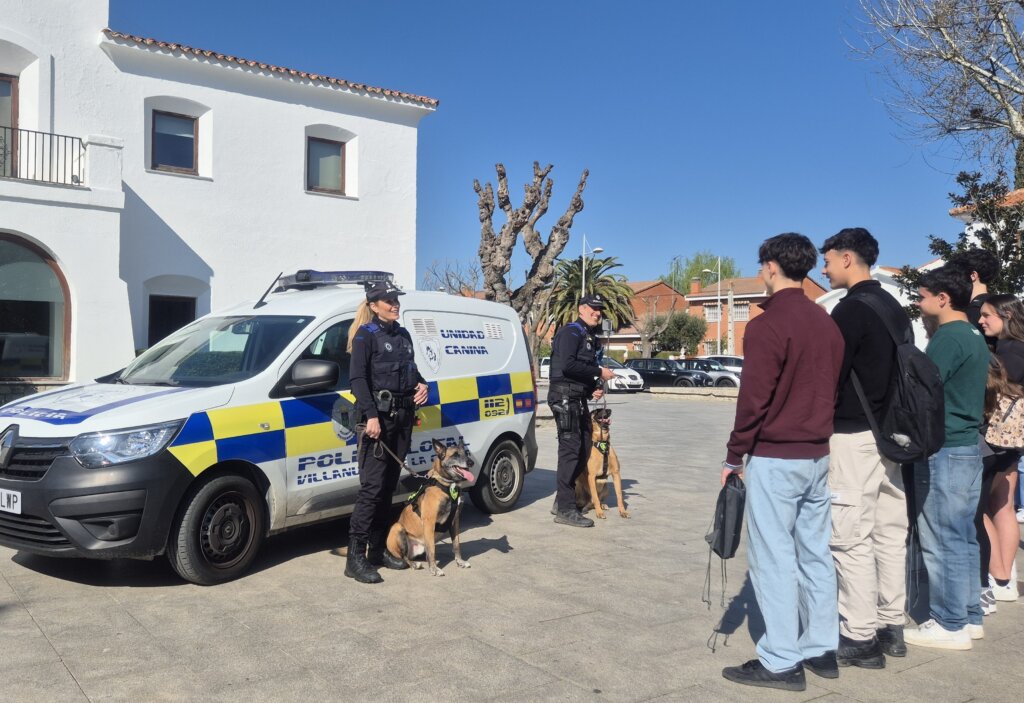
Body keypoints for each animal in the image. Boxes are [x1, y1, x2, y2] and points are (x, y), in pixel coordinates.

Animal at [386, 438, 475, 576]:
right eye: (455, 455)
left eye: (465, 453)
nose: (471, 462)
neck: (447, 485)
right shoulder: (429, 522)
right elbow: (432, 549)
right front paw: (434, 568)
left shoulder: (455, 521)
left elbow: (456, 544)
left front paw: (460, 561)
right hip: (397, 527)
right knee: (404, 557)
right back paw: (414, 564)